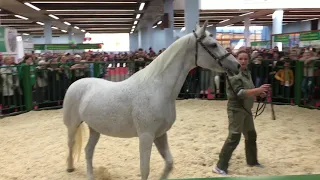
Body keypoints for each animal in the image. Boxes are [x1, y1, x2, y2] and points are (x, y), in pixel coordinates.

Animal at [63, 20, 240, 179]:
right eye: (213, 45)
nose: (237, 65)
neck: (157, 89)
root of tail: (76, 83)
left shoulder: (160, 135)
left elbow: (169, 163)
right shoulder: (146, 136)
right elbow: (145, 170)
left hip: (95, 129)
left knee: (88, 151)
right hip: (73, 125)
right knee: (71, 144)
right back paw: (70, 168)